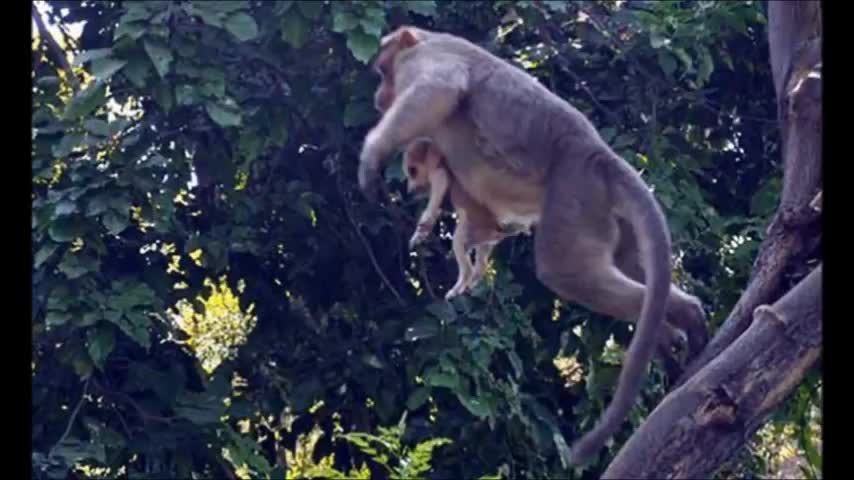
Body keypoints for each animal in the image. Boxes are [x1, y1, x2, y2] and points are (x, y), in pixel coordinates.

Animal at [402, 138, 528, 300]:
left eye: (412, 171)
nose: (409, 190)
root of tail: (498, 228)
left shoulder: (439, 175)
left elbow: (433, 207)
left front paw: (418, 235)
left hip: (473, 231)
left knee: (460, 246)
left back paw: (458, 287)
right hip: (486, 238)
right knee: (482, 260)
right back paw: (473, 281)